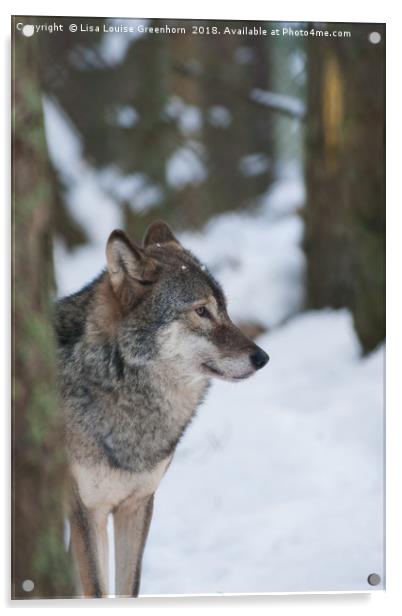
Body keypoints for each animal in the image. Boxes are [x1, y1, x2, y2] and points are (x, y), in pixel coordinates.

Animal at [52, 221, 266, 596]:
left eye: (224, 309)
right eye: (201, 311)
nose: (263, 357)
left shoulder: (137, 505)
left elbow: (128, 588)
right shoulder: (87, 512)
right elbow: (97, 589)